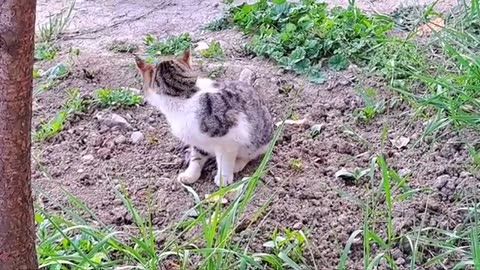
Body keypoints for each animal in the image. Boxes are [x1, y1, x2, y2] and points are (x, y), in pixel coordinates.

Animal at [135, 48, 274, 187]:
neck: (186, 93)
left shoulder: (232, 136)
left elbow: (225, 159)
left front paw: (223, 177)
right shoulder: (196, 140)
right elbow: (196, 157)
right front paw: (191, 174)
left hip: (257, 139)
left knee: (250, 154)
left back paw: (237, 164)